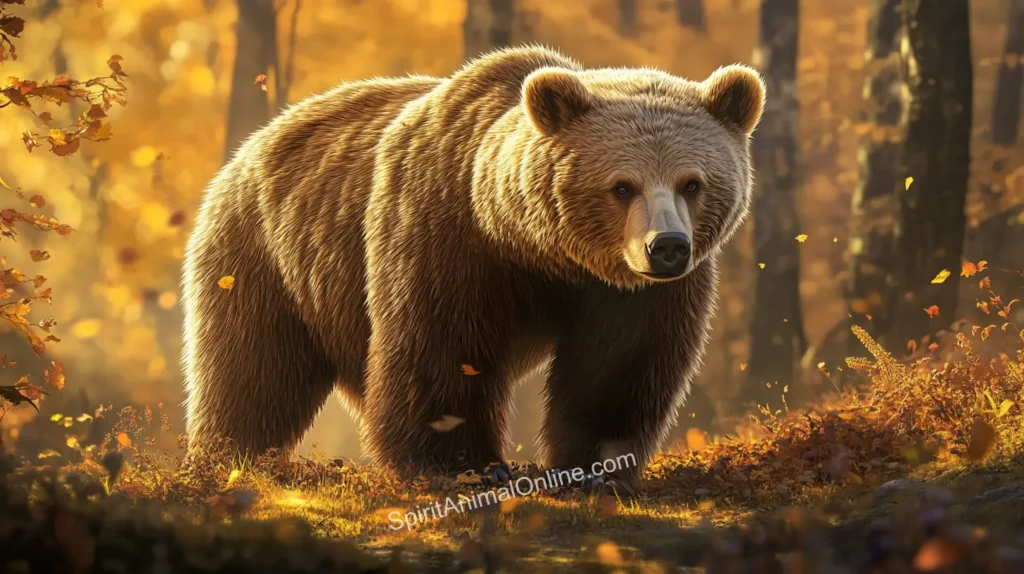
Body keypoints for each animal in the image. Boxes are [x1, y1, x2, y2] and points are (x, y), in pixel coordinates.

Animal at [182, 45, 765, 490]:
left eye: (692, 182)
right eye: (622, 186)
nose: (666, 247)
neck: (534, 247)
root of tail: (255, 141)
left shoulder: (633, 293)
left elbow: (617, 366)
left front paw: (597, 465)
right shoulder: (446, 235)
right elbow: (441, 349)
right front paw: (464, 465)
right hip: (264, 254)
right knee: (251, 367)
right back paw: (229, 458)